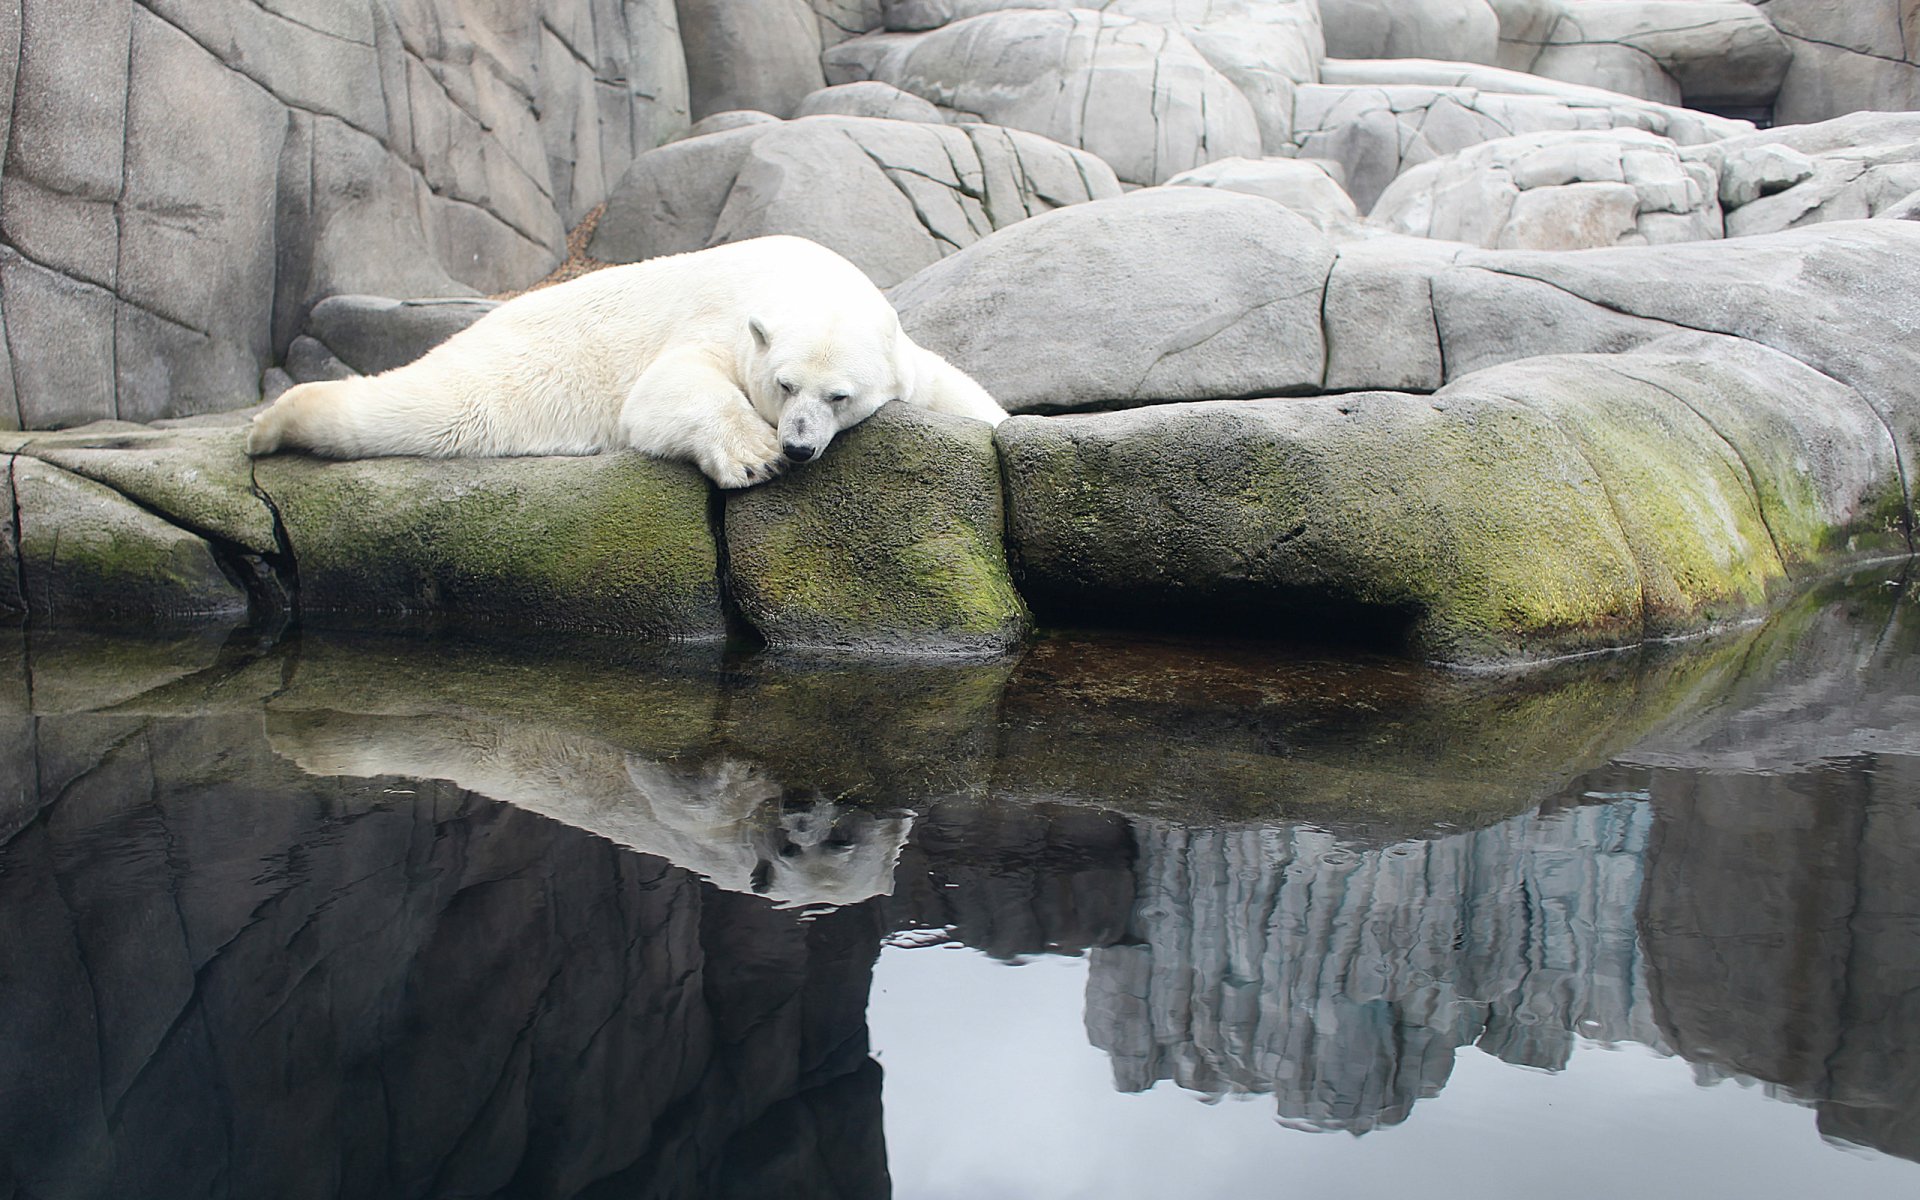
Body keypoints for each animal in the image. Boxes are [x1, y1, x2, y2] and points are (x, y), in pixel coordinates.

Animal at [245, 236, 1006, 488]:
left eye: (839, 396)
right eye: (784, 384)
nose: (796, 447)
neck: (797, 272)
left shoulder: (901, 354)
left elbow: (949, 386)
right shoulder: (720, 319)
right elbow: (664, 389)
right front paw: (752, 457)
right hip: (517, 365)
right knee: (439, 408)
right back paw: (270, 426)